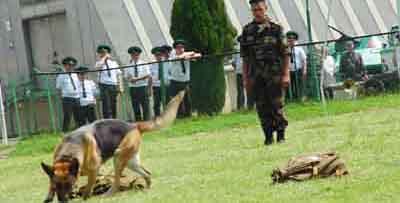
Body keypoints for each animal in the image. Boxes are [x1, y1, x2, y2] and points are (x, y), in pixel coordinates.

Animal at [40, 91, 184, 203]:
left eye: (69, 185)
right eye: (57, 185)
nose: (63, 200)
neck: (70, 151)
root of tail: (134, 125)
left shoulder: (93, 171)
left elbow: (87, 190)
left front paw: (84, 197)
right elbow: (51, 183)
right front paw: (48, 197)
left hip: (118, 157)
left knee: (116, 182)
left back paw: (108, 194)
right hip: (130, 162)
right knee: (147, 174)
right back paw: (147, 188)